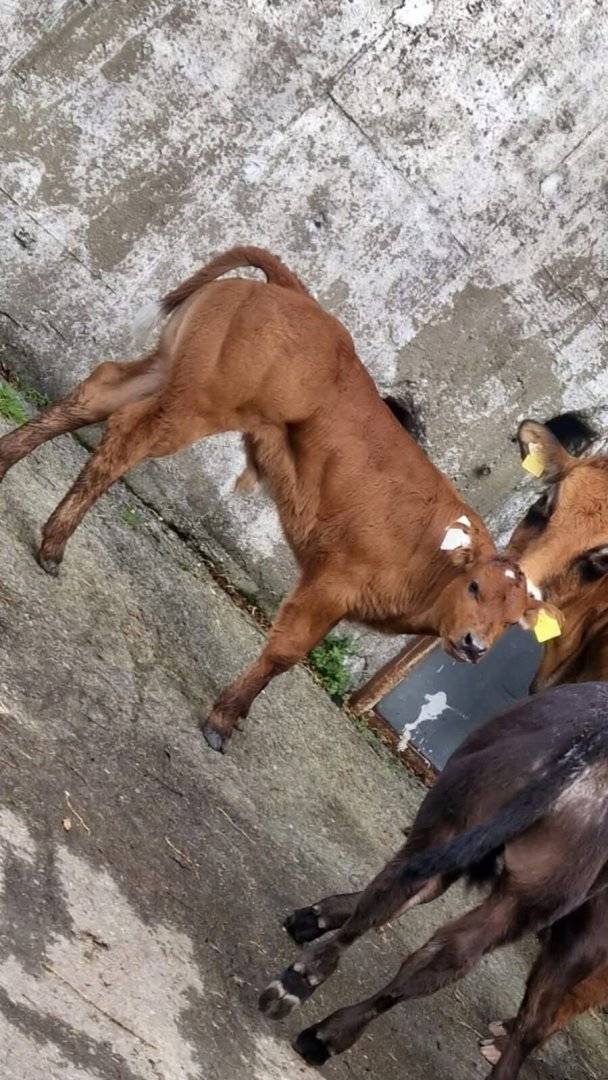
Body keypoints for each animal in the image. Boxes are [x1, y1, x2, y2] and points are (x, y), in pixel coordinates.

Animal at [0, 247, 554, 753]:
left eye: (512, 621)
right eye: (475, 587)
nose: (475, 647)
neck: (432, 556)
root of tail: (295, 295)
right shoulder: (331, 583)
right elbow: (285, 654)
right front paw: (222, 722)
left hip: (166, 369)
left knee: (97, 393)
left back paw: (7, 462)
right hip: (194, 407)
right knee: (121, 438)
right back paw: (53, 545)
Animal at [259, 681, 608, 1080]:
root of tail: (594, 745)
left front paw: (318, 917)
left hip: (455, 822)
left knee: (400, 903)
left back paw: (306, 993)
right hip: (523, 887)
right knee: (455, 958)